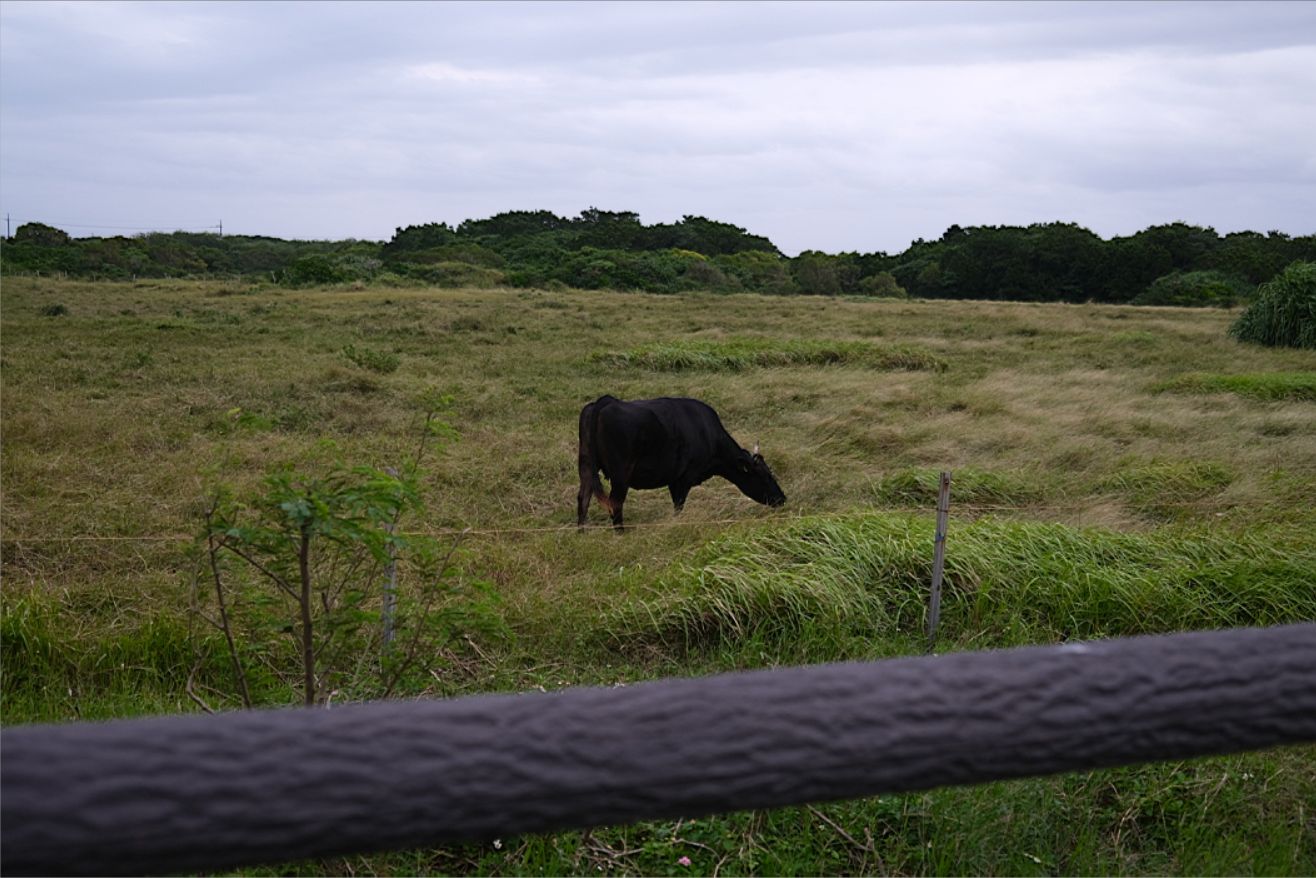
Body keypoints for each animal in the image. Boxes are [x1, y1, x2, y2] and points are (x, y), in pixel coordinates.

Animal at [573, 397, 779, 531]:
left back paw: (582, 531)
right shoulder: (683, 479)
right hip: (621, 474)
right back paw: (620, 533)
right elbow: (678, 507)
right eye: (766, 476)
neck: (709, 435)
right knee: (615, 502)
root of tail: (606, 401)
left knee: (583, 497)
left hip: (586, 465)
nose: (782, 498)